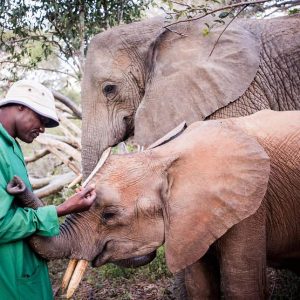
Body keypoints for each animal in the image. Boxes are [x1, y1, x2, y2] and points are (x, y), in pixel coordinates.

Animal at [9, 109, 300, 298]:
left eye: (109, 215)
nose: (15, 183)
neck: (164, 155)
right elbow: (200, 286)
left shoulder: (251, 205)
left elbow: (241, 287)